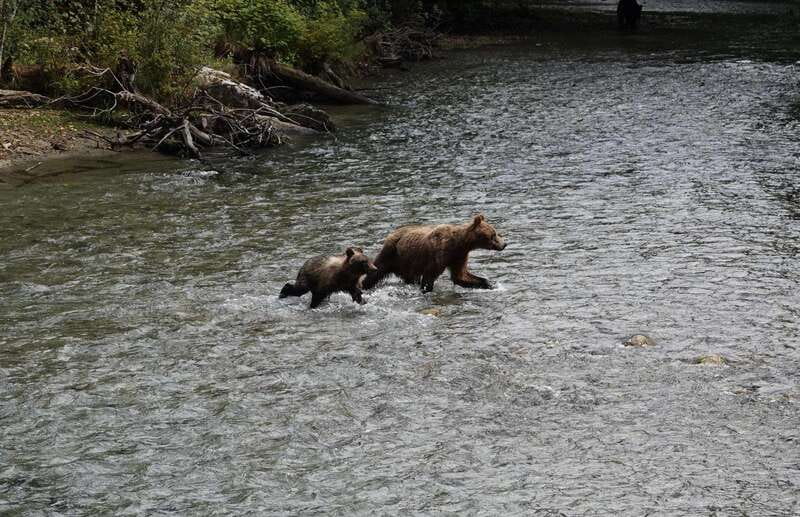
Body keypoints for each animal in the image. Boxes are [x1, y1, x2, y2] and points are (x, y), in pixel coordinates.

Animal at [361, 214, 506, 293]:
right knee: (375, 272)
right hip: (392, 253)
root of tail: (391, 234)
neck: (459, 244)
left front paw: (490, 284)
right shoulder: (440, 254)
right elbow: (429, 276)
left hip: (407, 263)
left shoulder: (459, 256)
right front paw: (426, 289)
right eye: (493, 235)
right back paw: (363, 286)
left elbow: (461, 276)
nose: (504, 244)